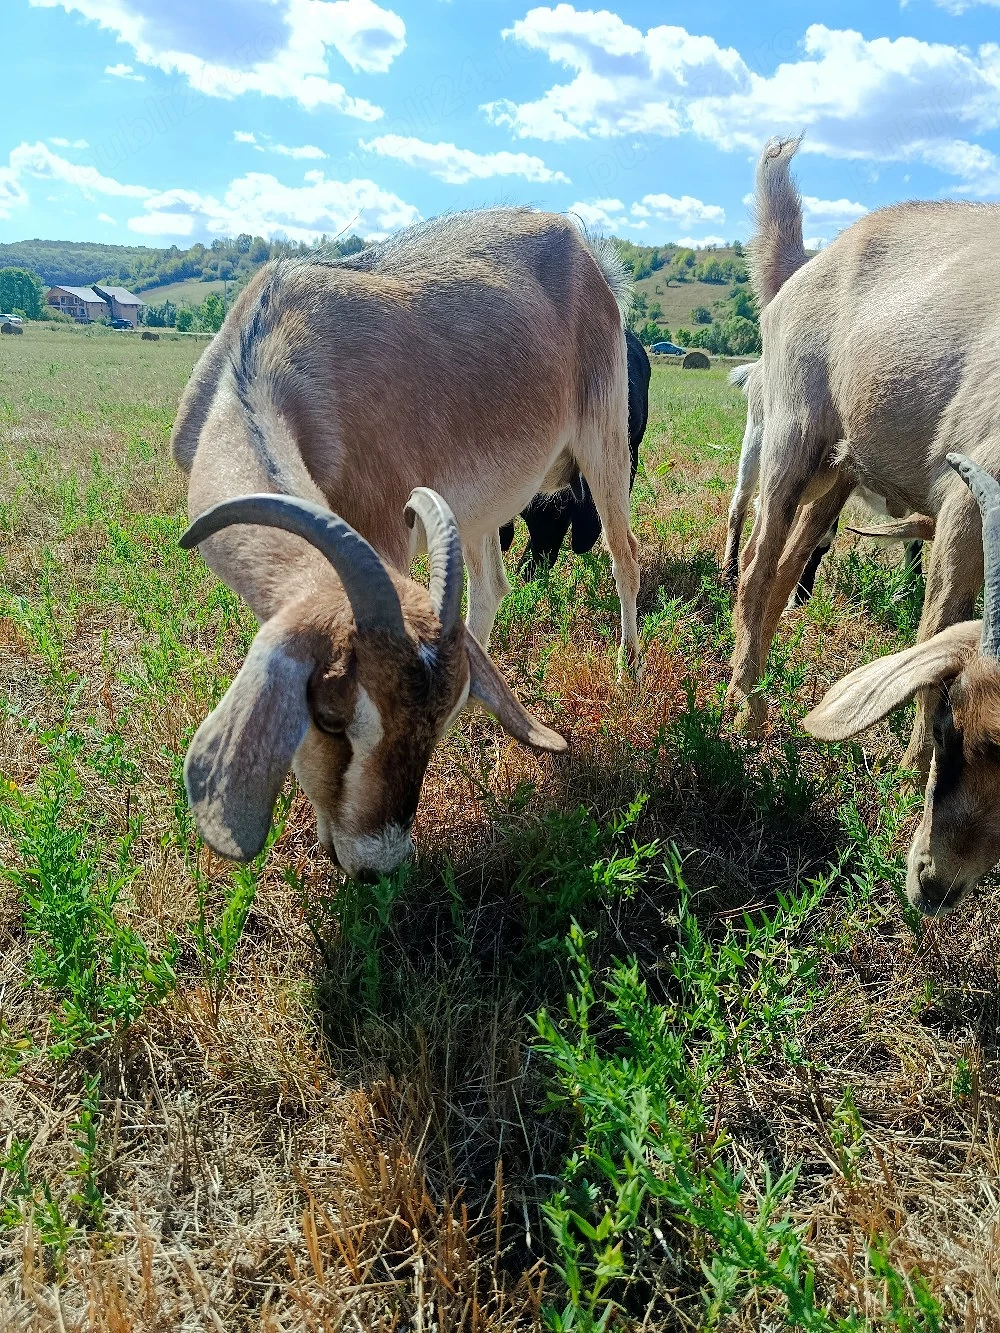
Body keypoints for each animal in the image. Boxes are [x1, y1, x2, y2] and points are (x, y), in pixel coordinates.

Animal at [726, 136, 1000, 779]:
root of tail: (805, 264)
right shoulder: (969, 495)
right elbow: (938, 635)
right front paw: (916, 772)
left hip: (837, 472)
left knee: (785, 570)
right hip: (791, 437)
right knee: (755, 571)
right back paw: (746, 711)